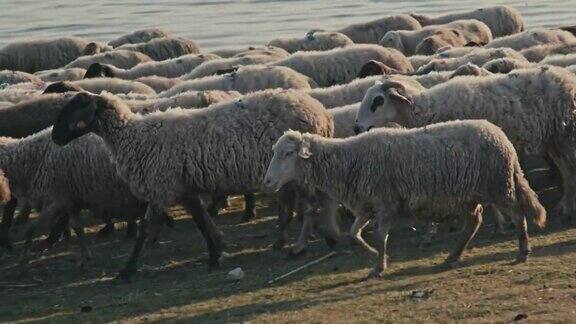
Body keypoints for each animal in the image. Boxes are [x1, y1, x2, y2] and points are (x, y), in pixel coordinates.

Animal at [51, 89, 336, 280]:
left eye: (73, 109)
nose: (54, 138)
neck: (132, 137)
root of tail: (321, 112)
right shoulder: (183, 189)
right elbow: (201, 221)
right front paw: (216, 252)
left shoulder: (160, 187)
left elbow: (144, 230)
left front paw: (127, 270)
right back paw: (303, 238)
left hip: (298, 171)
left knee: (311, 206)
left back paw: (306, 244)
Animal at [264, 120, 548, 278]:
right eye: (275, 151)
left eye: (288, 153)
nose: (267, 181)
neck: (346, 161)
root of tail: (501, 136)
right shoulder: (367, 205)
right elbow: (354, 234)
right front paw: (375, 256)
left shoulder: (385, 202)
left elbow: (380, 236)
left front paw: (379, 265)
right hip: (473, 194)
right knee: (474, 222)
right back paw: (452, 256)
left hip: (499, 185)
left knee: (517, 214)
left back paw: (523, 251)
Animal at [354, 67, 576, 220]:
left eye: (378, 101)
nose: (356, 128)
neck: (426, 109)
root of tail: (567, 77)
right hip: (554, 138)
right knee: (566, 171)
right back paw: (564, 207)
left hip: (565, 135)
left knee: (568, 170)